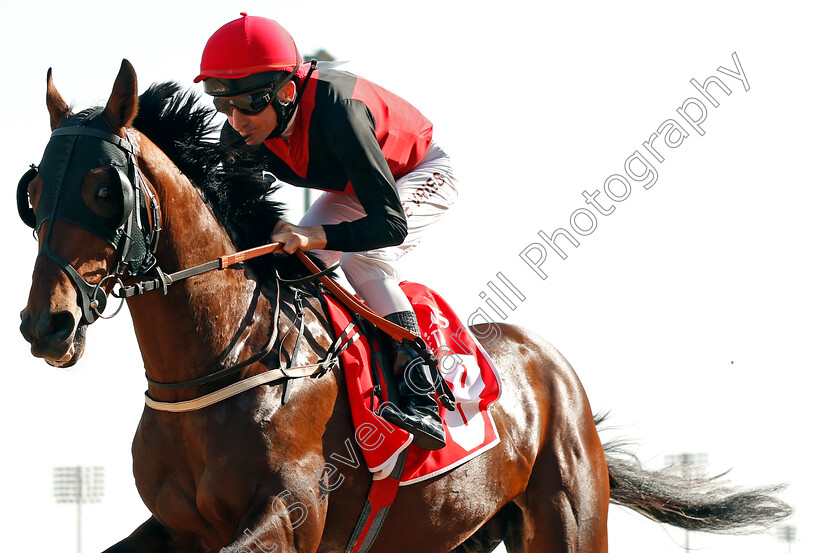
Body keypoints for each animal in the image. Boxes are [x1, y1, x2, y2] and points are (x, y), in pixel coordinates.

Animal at [19, 60, 792, 552]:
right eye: (33, 191)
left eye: (102, 189)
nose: (45, 323)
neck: (221, 364)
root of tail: (553, 369)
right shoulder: (177, 528)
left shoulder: (290, 518)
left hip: (570, 522)